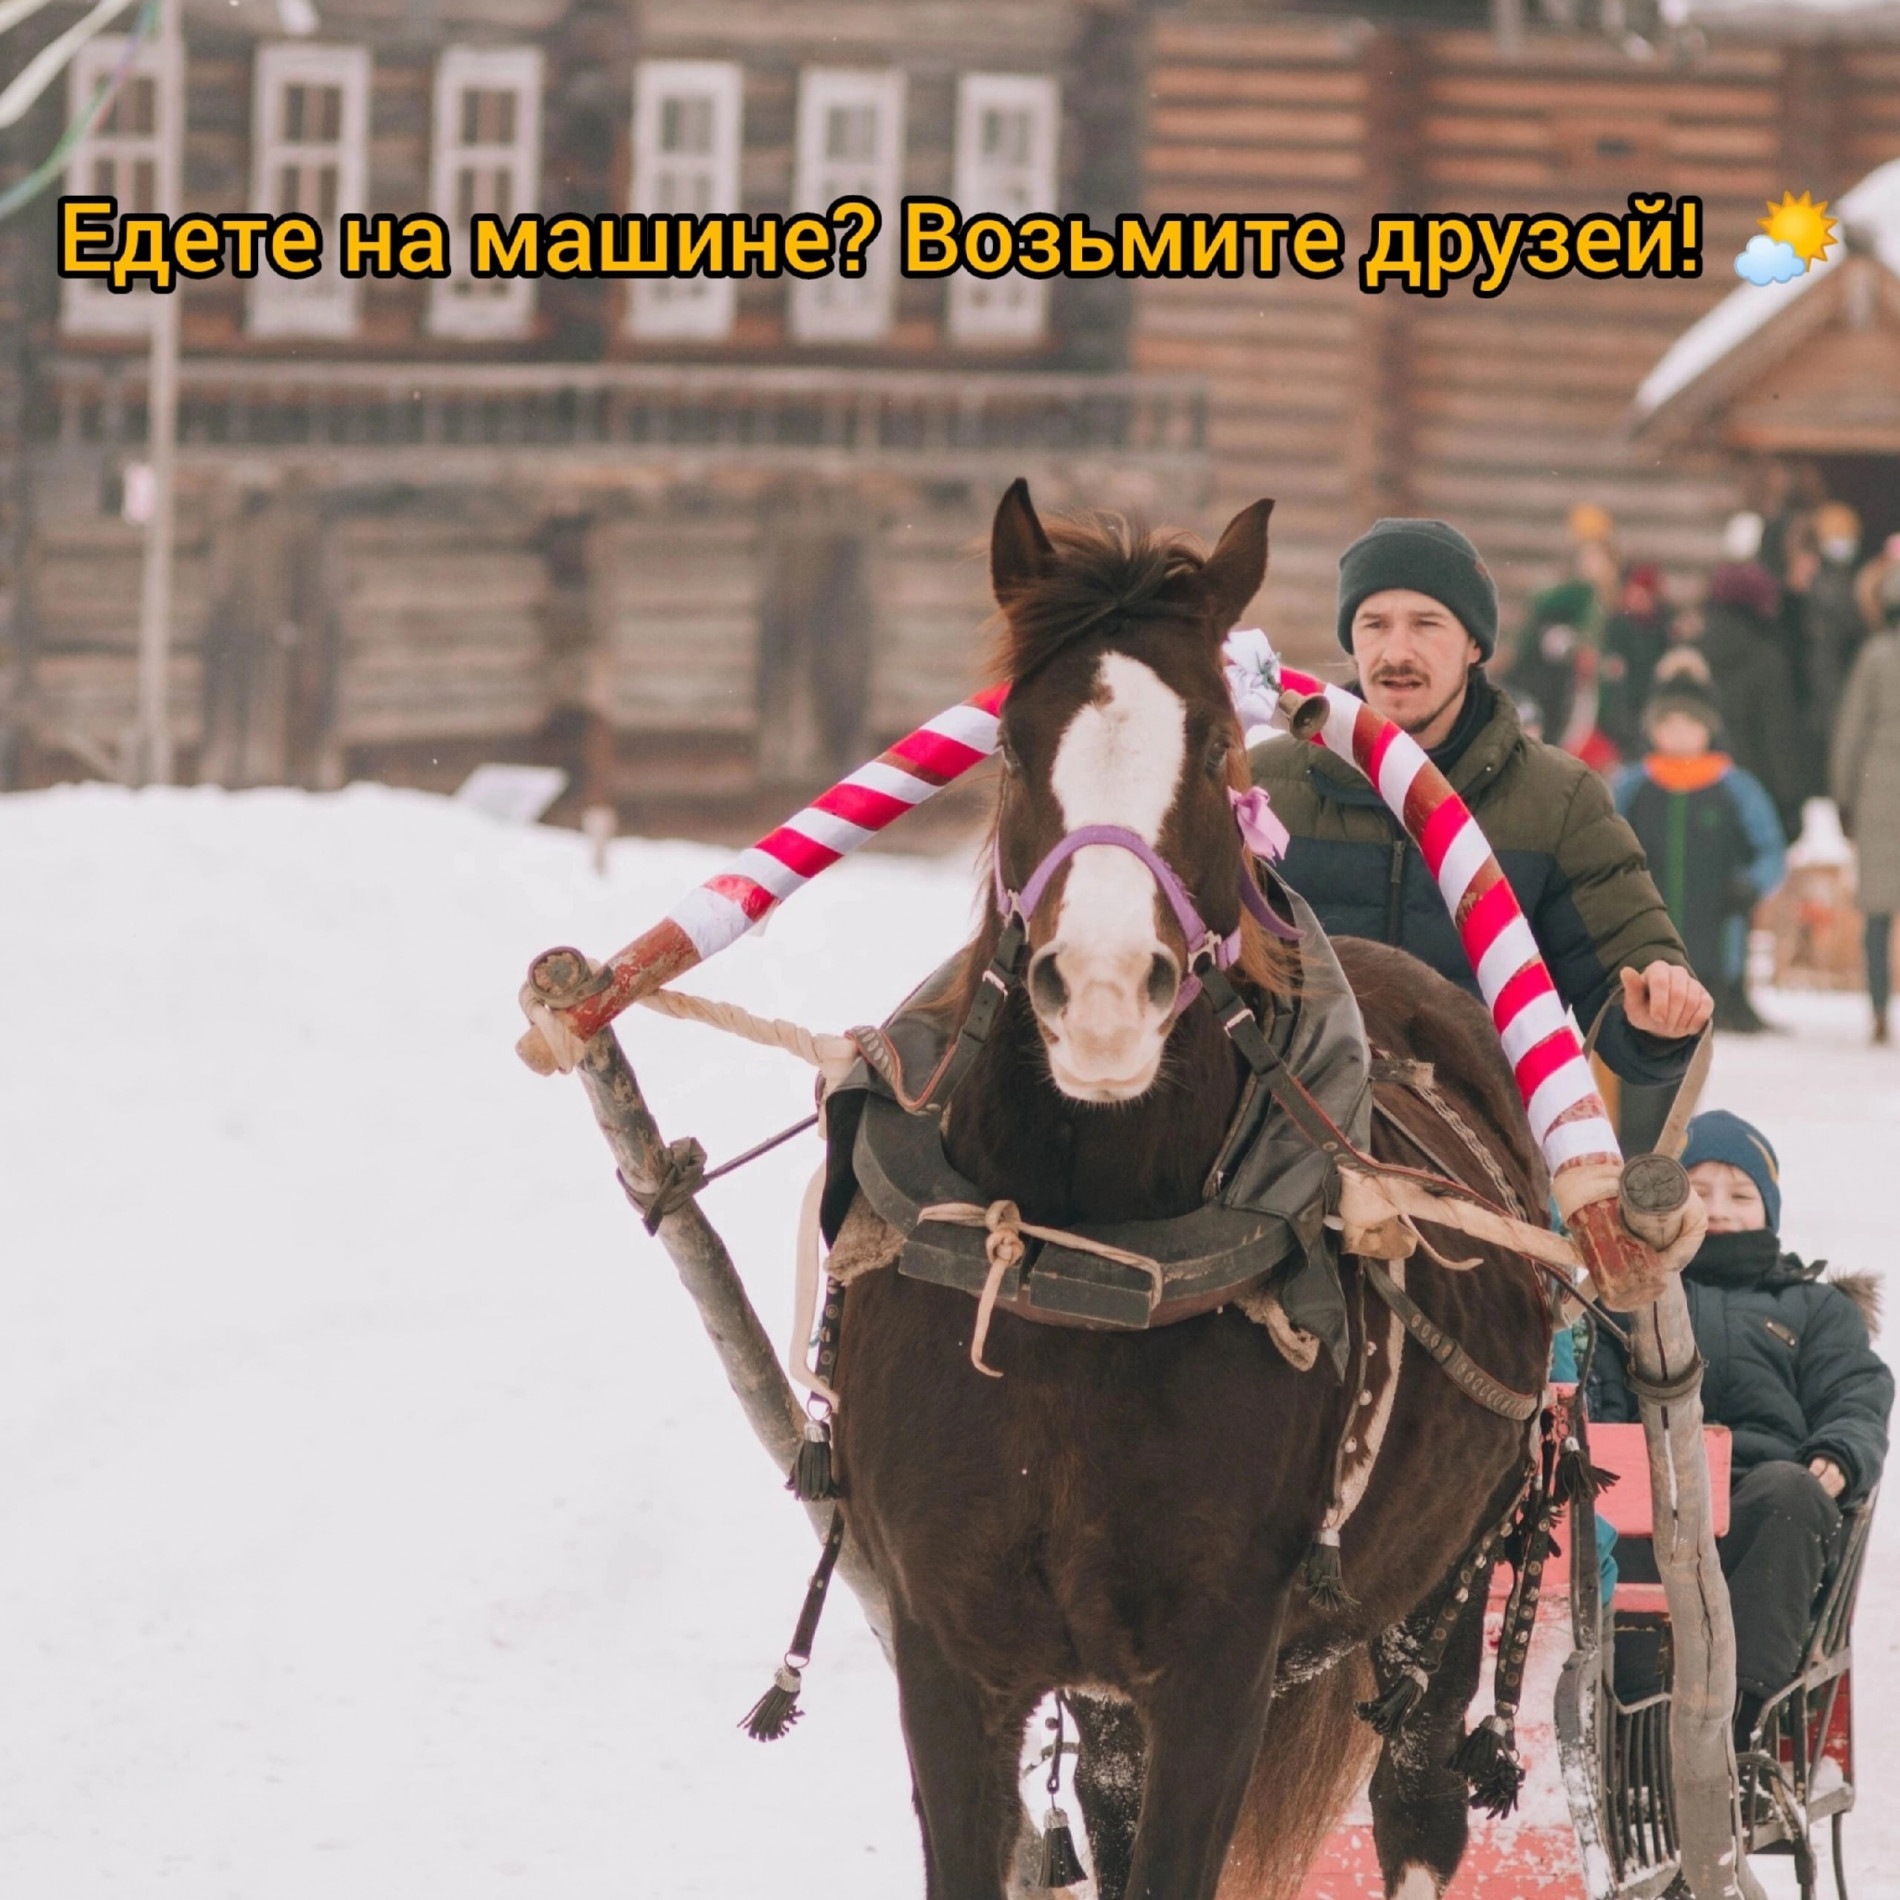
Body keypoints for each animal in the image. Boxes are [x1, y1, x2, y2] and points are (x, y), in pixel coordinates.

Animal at [839, 486, 1550, 1900]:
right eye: (1014, 747)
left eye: (1217, 743)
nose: (1106, 992)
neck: (1083, 1264)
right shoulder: (952, 1652)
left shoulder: (1220, 1666)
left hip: (1445, 1587)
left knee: (1419, 1800)